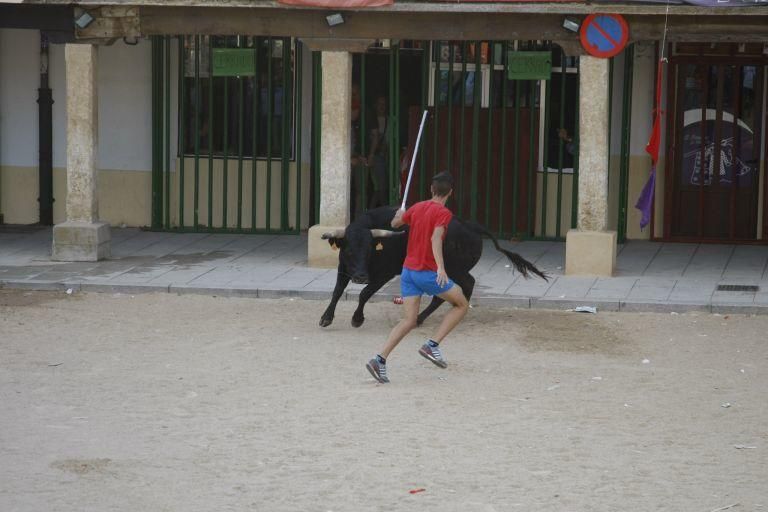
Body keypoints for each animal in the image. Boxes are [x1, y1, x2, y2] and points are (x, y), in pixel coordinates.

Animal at [318, 207, 544, 328]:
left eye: (369, 250)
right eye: (348, 251)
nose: (360, 276)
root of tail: (470, 226)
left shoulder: (385, 273)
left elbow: (365, 293)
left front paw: (357, 319)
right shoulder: (344, 268)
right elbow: (337, 291)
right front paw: (326, 318)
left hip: (453, 269)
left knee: (467, 284)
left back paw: (429, 316)